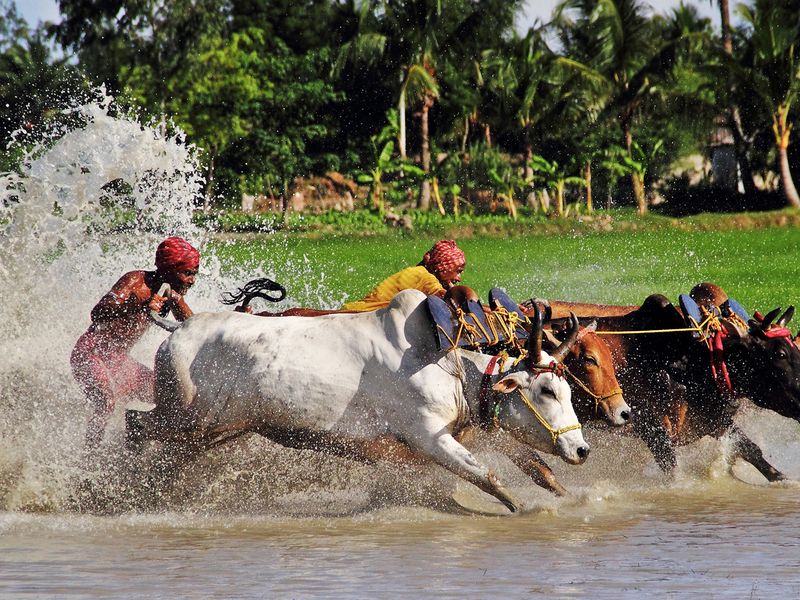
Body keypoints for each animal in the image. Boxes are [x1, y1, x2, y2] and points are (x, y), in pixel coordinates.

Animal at [133, 289, 589, 513]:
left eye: (568, 391)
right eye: (547, 391)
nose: (581, 449)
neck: (453, 369)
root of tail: (179, 330)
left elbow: (539, 470)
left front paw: (571, 497)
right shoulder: (430, 437)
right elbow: (486, 477)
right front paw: (523, 509)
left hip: (218, 430)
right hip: (184, 419)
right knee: (134, 427)